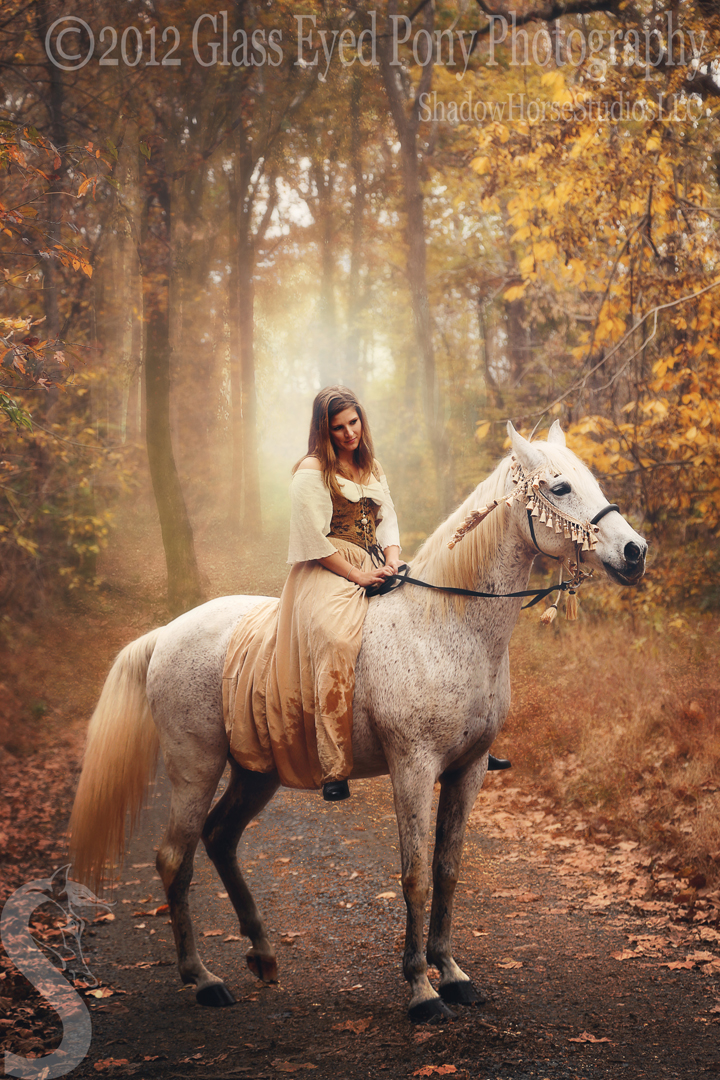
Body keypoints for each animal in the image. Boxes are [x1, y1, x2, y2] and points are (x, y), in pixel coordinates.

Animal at [68, 422, 647, 1023]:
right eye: (559, 488)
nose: (635, 552)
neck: (445, 627)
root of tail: (167, 633)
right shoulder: (413, 769)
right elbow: (415, 877)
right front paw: (421, 989)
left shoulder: (468, 771)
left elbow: (447, 871)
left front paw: (453, 974)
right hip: (195, 768)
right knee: (174, 858)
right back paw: (203, 979)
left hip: (255, 773)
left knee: (220, 838)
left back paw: (264, 956)